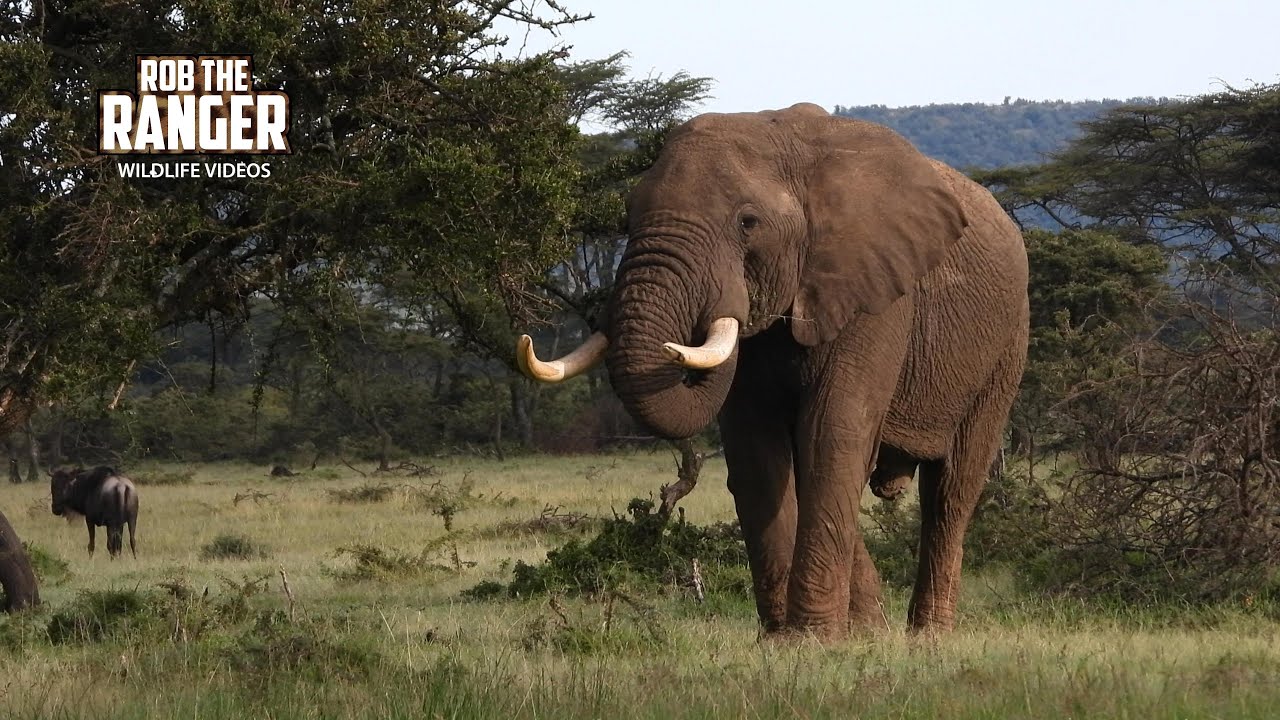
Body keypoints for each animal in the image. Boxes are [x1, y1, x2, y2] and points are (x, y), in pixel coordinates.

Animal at [517, 103, 1028, 639]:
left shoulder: (875, 292)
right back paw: (870, 629)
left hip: (1007, 343)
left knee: (951, 490)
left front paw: (810, 640)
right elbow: (755, 446)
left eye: (748, 222)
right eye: (628, 215)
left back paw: (927, 635)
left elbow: (832, 431)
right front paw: (785, 640)